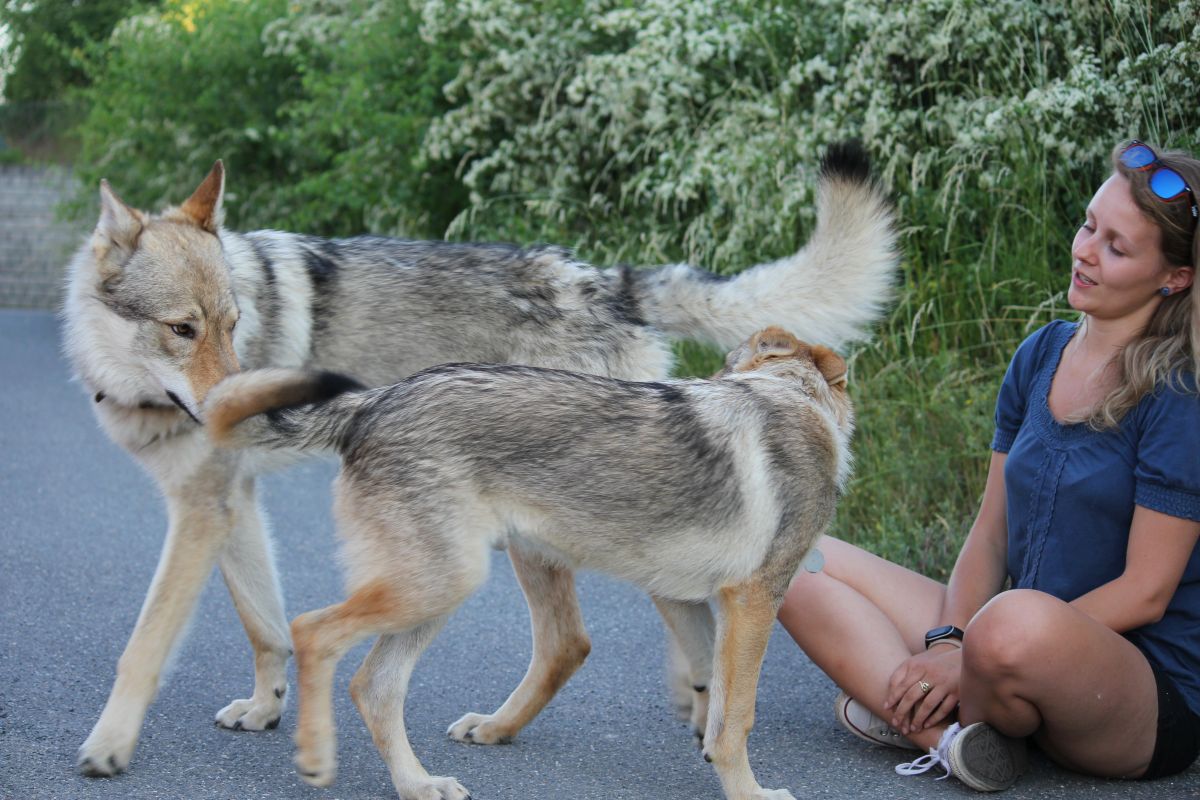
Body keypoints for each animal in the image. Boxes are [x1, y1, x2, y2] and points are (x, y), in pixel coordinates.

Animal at [206, 326, 859, 800]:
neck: (790, 395)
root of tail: (377, 399)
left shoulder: (687, 596)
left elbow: (713, 693)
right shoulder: (754, 601)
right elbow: (737, 719)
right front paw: (751, 794)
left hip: (446, 589)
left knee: (375, 685)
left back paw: (419, 783)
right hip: (441, 584)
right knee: (312, 632)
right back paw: (318, 757)